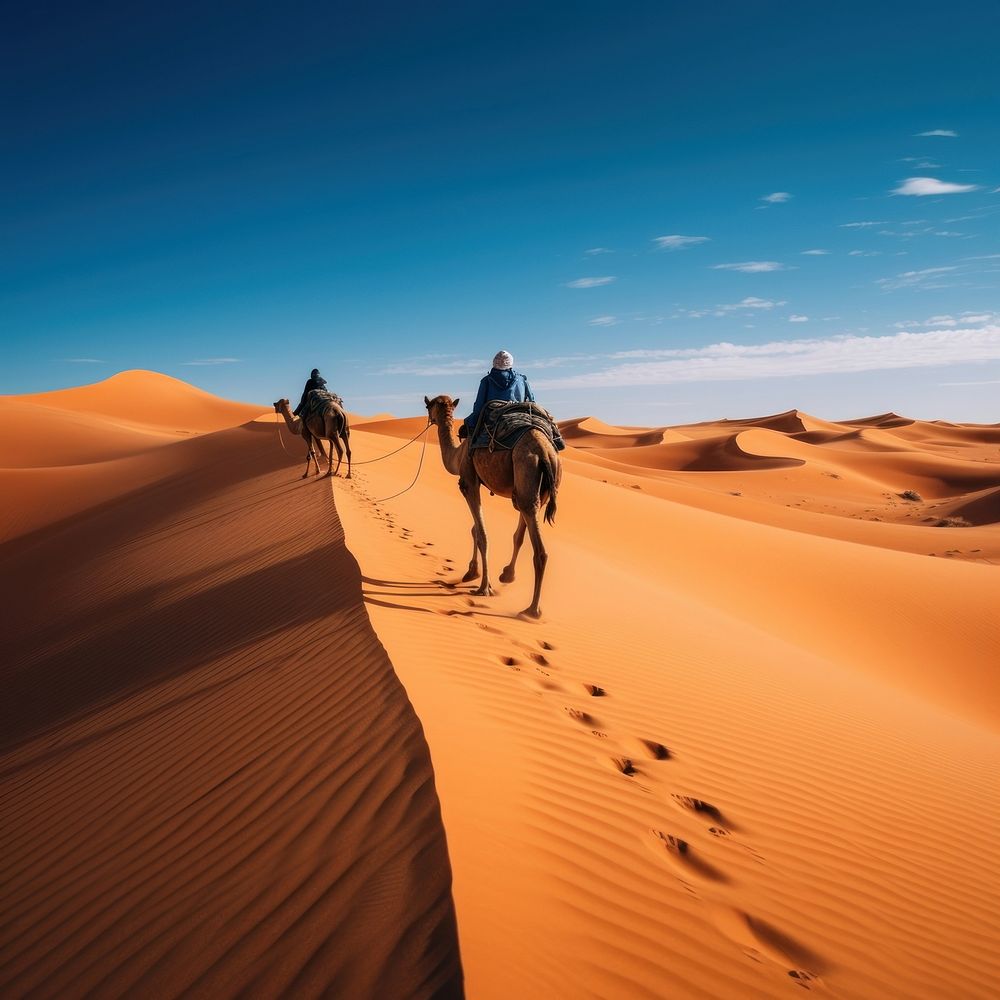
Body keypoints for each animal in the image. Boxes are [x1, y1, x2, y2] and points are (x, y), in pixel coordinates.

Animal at [424, 392, 560, 616]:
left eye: (428, 407)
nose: (430, 420)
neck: (457, 455)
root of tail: (545, 454)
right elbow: (477, 530)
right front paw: (472, 572)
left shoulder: (468, 482)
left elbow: (482, 533)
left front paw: (483, 586)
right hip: (535, 492)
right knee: (524, 527)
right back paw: (508, 575)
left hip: (526, 469)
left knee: (540, 552)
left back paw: (532, 610)